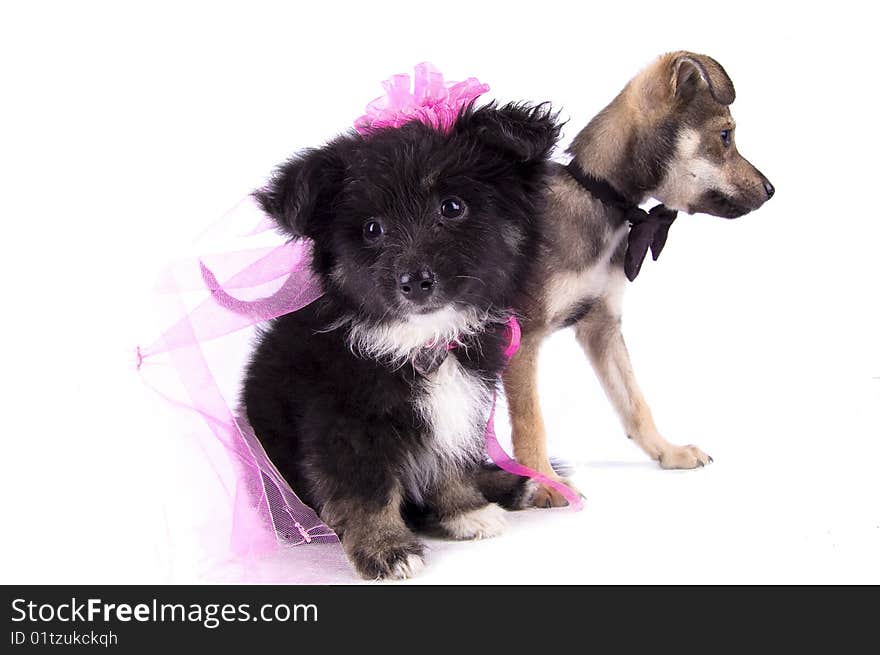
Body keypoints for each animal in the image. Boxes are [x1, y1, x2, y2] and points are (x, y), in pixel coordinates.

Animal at [242, 105, 556, 580]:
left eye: (452, 207)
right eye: (373, 229)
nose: (414, 282)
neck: (420, 340)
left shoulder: (461, 403)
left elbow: (448, 461)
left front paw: (465, 510)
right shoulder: (344, 425)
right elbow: (367, 492)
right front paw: (386, 549)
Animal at [506, 52, 772, 508]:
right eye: (725, 135)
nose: (771, 190)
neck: (600, 200)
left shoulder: (601, 327)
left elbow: (633, 400)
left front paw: (668, 452)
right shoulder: (524, 335)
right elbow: (530, 421)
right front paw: (544, 483)